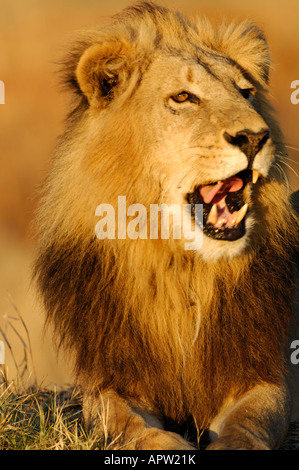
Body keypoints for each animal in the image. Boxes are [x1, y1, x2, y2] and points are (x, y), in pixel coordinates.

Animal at [34, 1, 298, 450]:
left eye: (246, 93)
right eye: (183, 97)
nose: (254, 137)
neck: (179, 268)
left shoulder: (265, 372)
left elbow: (250, 419)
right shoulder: (112, 380)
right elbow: (127, 424)